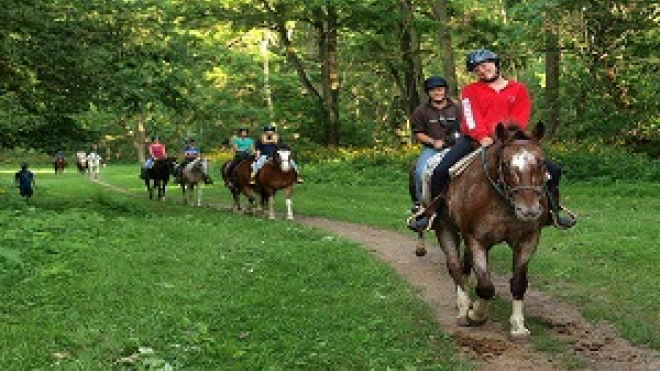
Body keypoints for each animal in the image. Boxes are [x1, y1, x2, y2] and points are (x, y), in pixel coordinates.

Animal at [412, 122, 552, 340]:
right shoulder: (476, 239)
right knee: (455, 267)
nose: (529, 210)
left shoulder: (528, 239)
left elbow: (518, 283)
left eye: (541, 163)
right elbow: (485, 286)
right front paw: (476, 314)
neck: (501, 199)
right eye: (505, 164)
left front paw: (518, 326)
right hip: (445, 228)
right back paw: (463, 308)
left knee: (465, 267)